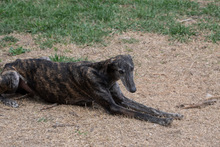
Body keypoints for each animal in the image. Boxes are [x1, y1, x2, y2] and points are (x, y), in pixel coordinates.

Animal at [0, 54, 182, 126]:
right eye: (121, 71)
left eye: (132, 68)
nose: (133, 89)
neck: (102, 72)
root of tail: (9, 62)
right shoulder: (113, 107)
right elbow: (140, 114)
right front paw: (163, 121)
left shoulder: (122, 99)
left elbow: (148, 108)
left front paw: (172, 114)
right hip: (13, 77)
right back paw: (9, 101)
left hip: (45, 58)